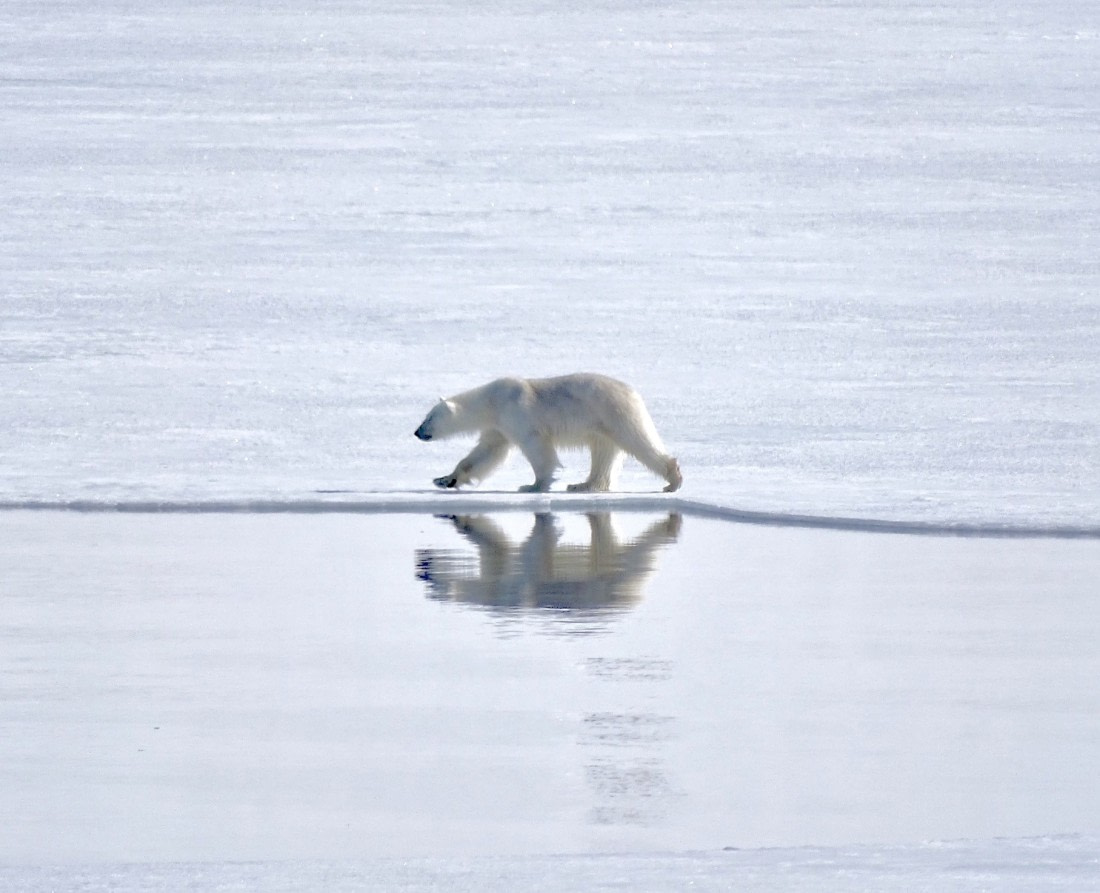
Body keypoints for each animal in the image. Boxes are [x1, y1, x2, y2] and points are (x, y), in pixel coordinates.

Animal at [413, 373, 682, 493]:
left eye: (428, 418)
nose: (417, 432)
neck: (492, 401)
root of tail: (633, 393)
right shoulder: (499, 425)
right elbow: (486, 453)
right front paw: (445, 479)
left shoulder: (517, 413)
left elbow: (536, 448)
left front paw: (533, 485)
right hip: (601, 426)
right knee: (603, 452)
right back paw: (583, 485)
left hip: (613, 413)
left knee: (638, 442)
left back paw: (673, 480)